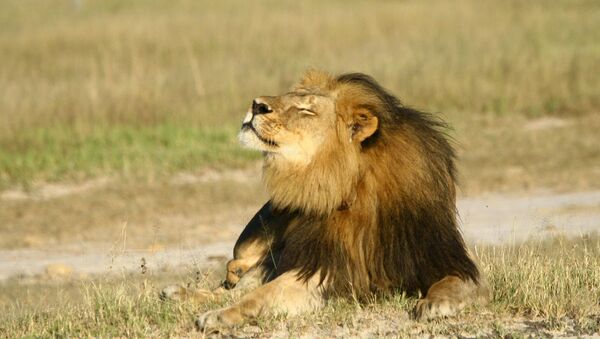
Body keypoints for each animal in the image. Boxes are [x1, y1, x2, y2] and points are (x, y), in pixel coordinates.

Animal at [161, 69, 488, 332]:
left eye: (306, 110)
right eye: (289, 97)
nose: (256, 105)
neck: (350, 184)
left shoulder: (441, 257)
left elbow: (456, 281)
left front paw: (435, 303)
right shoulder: (324, 266)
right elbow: (261, 294)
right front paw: (219, 315)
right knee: (234, 284)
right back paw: (179, 293)